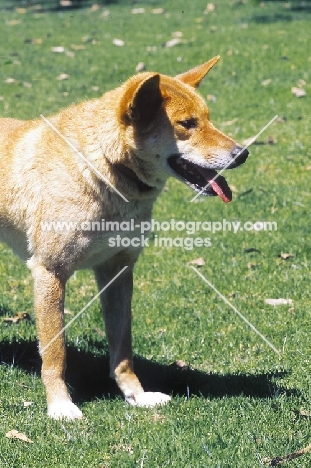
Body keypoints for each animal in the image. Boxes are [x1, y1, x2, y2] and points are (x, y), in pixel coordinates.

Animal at [0, 56, 249, 418]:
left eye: (208, 119)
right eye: (186, 124)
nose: (243, 153)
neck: (104, 168)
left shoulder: (118, 271)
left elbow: (122, 350)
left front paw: (135, 395)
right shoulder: (50, 272)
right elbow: (56, 353)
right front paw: (60, 406)